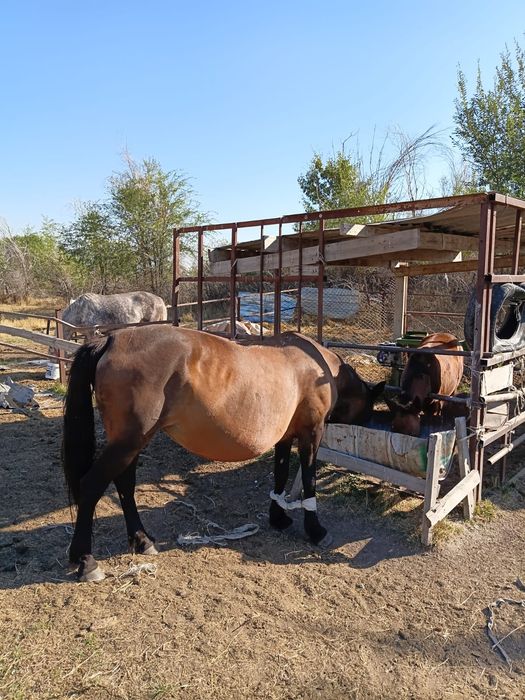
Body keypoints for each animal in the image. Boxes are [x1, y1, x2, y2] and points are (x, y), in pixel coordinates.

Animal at [63, 326, 385, 581]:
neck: (316, 366)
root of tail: (112, 340)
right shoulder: (311, 434)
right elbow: (308, 482)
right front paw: (316, 530)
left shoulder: (285, 436)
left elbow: (280, 476)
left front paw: (278, 517)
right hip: (128, 442)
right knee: (91, 485)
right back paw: (86, 561)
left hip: (132, 442)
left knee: (125, 485)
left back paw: (142, 541)